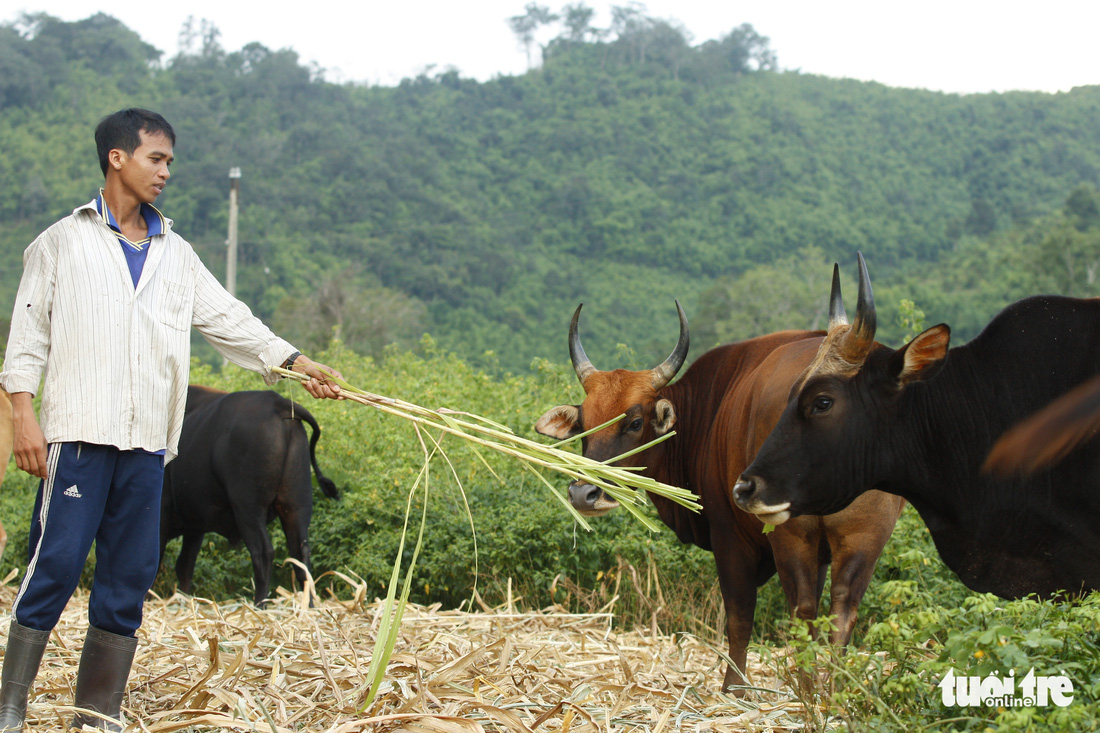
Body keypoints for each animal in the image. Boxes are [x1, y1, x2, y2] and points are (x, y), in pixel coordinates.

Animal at [160, 385, 336, 603]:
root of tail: (277, 402)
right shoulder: (195, 527)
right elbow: (184, 566)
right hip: (296, 505)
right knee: (300, 555)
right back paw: (307, 606)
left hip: (248, 509)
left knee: (263, 553)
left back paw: (260, 604)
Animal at [532, 286, 902, 691]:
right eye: (583, 423)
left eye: (634, 422)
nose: (583, 494)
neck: (707, 410)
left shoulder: (728, 536)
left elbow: (739, 618)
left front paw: (733, 689)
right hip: (865, 534)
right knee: (840, 611)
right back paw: (832, 691)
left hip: (790, 533)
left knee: (800, 610)